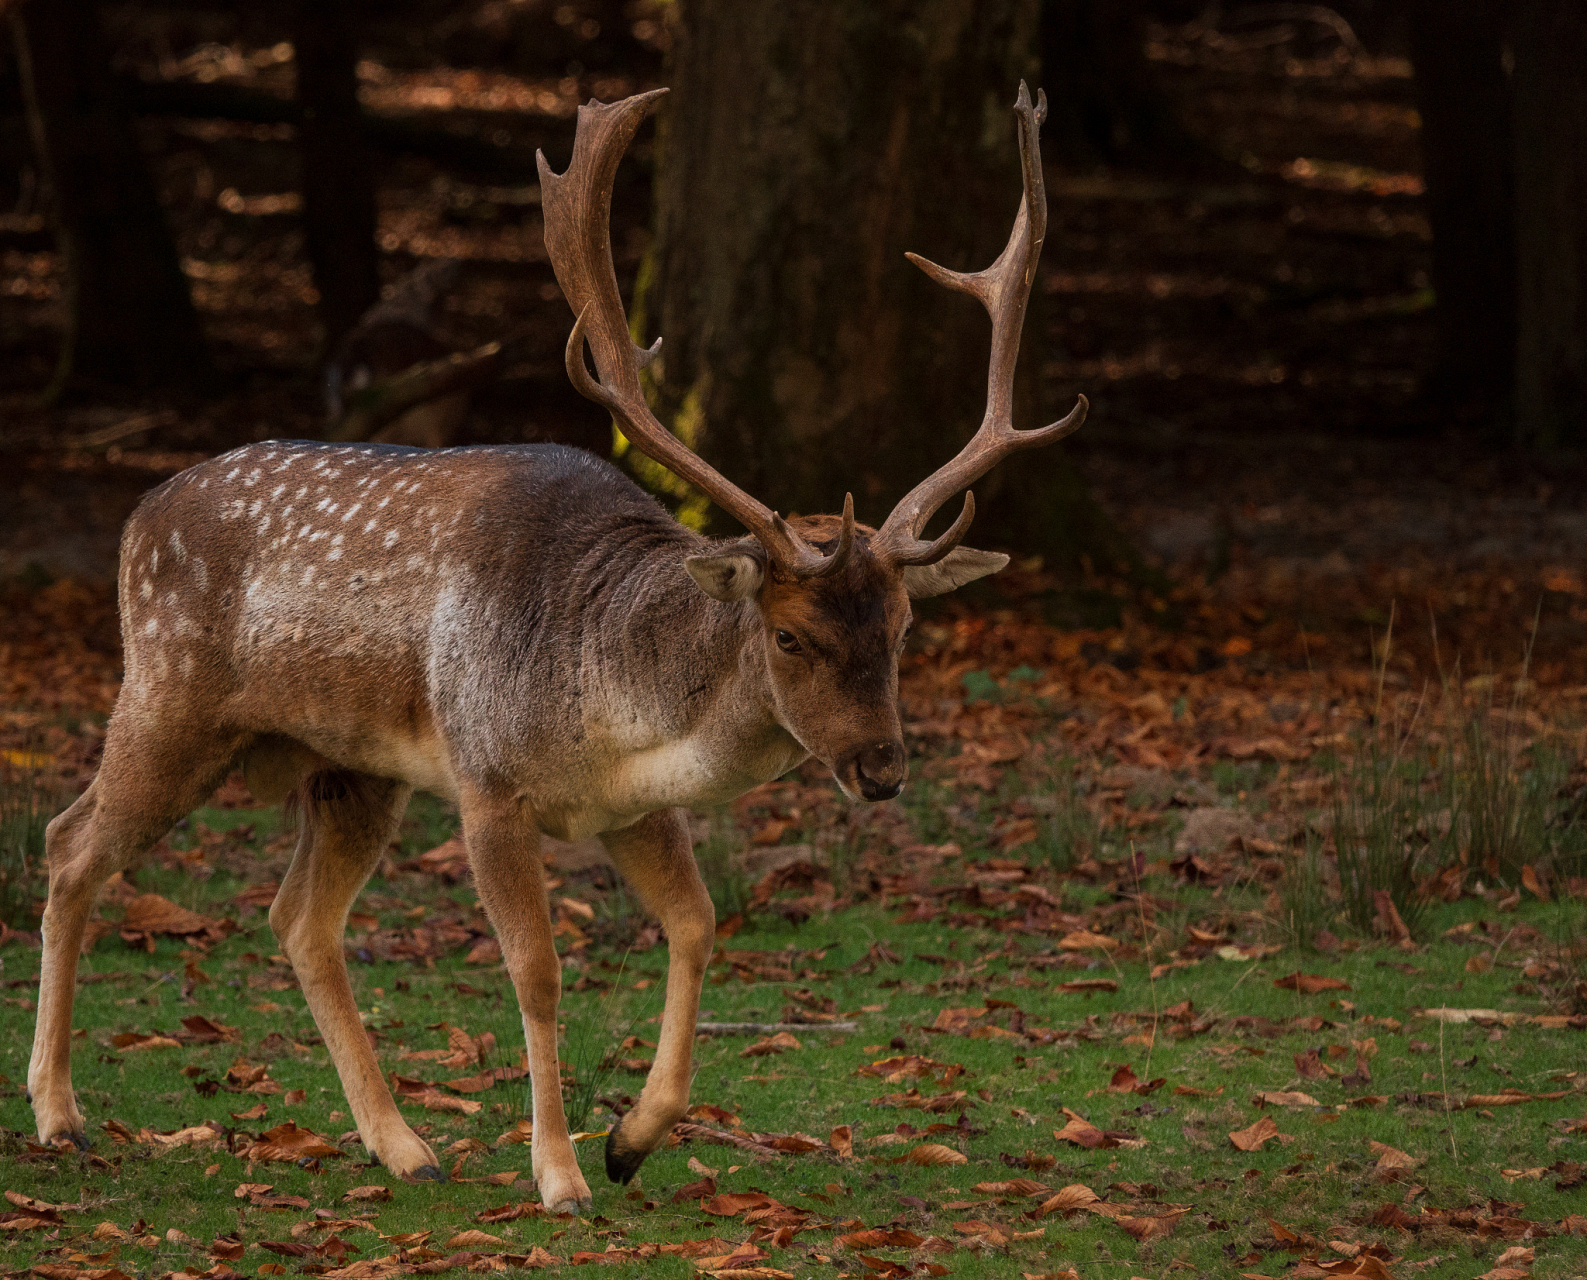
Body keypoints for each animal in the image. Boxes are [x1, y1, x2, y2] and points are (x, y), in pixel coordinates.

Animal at [30, 82, 1085, 1211]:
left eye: (902, 626)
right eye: (790, 635)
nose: (882, 766)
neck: (614, 716)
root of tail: (136, 518)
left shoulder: (636, 808)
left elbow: (699, 922)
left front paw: (631, 1137)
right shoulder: (489, 782)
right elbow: (536, 971)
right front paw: (561, 1173)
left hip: (350, 770)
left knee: (295, 917)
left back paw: (401, 1144)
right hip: (169, 697)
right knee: (70, 841)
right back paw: (60, 1114)